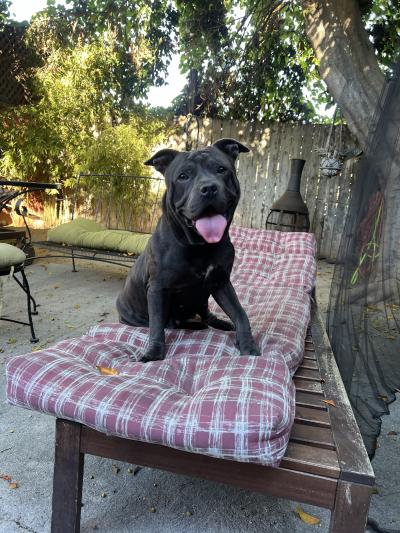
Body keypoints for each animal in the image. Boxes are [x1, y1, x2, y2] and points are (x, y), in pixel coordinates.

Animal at [116, 137, 260, 362]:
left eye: (221, 169)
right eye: (183, 176)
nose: (208, 188)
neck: (199, 245)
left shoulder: (221, 282)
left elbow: (240, 313)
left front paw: (247, 344)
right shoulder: (158, 289)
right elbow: (156, 326)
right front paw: (154, 353)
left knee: (206, 315)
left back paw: (216, 323)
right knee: (169, 323)